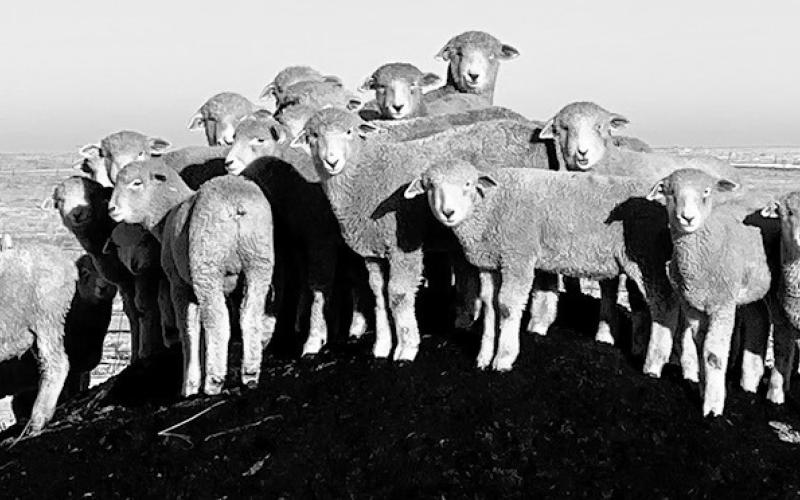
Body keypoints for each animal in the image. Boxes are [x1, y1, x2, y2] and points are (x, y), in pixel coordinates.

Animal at [108, 159, 276, 396]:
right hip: (258, 261)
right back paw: (250, 374)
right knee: (250, 315)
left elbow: (189, 329)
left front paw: (190, 384)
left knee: (218, 320)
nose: (111, 209)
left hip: (207, 264)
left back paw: (213, 382)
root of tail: (236, 205)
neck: (166, 216)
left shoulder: (179, 284)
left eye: (136, 183)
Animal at [224, 113, 369, 354]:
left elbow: (318, 286)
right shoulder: (296, 243)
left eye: (260, 139)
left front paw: (314, 339)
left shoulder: (321, 241)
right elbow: (303, 284)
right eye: (234, 137)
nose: (229, 163)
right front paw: (303, 326)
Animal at [290, 108, 559, 361]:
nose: (332, 161)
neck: (367, 173)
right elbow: (378, 294)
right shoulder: (373, 250)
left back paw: (539, 322)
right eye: (313, 136)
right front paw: (382, 346)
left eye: (349, 132)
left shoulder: (403, 244)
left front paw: (406, 347)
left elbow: (397, 295)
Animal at [404, 159, 678, 373]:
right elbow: (490, 307)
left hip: (645, 258)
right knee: (644, 305)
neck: (491, 205)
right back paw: (640, 349)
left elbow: (507, 306)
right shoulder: (489, 264)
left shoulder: (518, 256)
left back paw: (654, 363)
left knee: (665, 304)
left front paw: (503, 358)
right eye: (430, 186)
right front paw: (483, 357)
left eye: (468, 184)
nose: (448, 212)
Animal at [646, 169, 770, 416]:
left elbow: (713, 354)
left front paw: (713, 407)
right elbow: (699, 344)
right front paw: (704, 390)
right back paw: (750, 381)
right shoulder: (693, 306)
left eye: (706, 191)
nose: (687, 218)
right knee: (759, 318)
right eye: (670, 192)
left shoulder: (722, 304)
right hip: (752, 291)